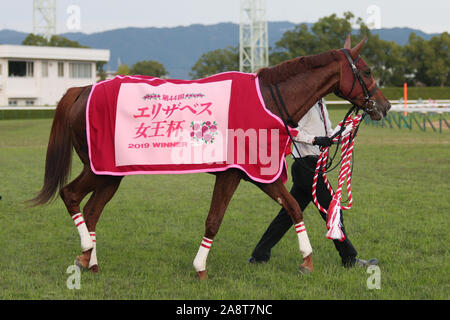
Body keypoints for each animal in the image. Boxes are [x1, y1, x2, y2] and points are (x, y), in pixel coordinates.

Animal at [31, 37, 390, 278]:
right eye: (367, 70)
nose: (384, 106)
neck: (268, 101)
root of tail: (81, 90)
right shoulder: (231, 173)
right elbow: (214, 220)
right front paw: (200, 267)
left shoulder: (260, 172)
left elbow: (291, 207)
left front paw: (306, 260)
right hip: (99, 168)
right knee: (70, 195)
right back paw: (84, 255)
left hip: (112, 173)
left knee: (92, 210)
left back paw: (89, 260)